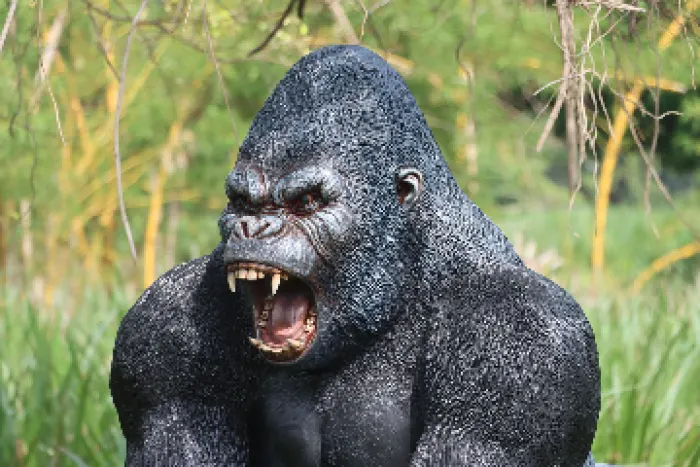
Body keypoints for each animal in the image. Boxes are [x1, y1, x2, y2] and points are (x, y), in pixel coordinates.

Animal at [110, 44, 601, 466]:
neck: (409, 274)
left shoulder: (521, 334)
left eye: (306, 203)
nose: (253, 228)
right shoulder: (164, 321)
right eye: (243, 203)